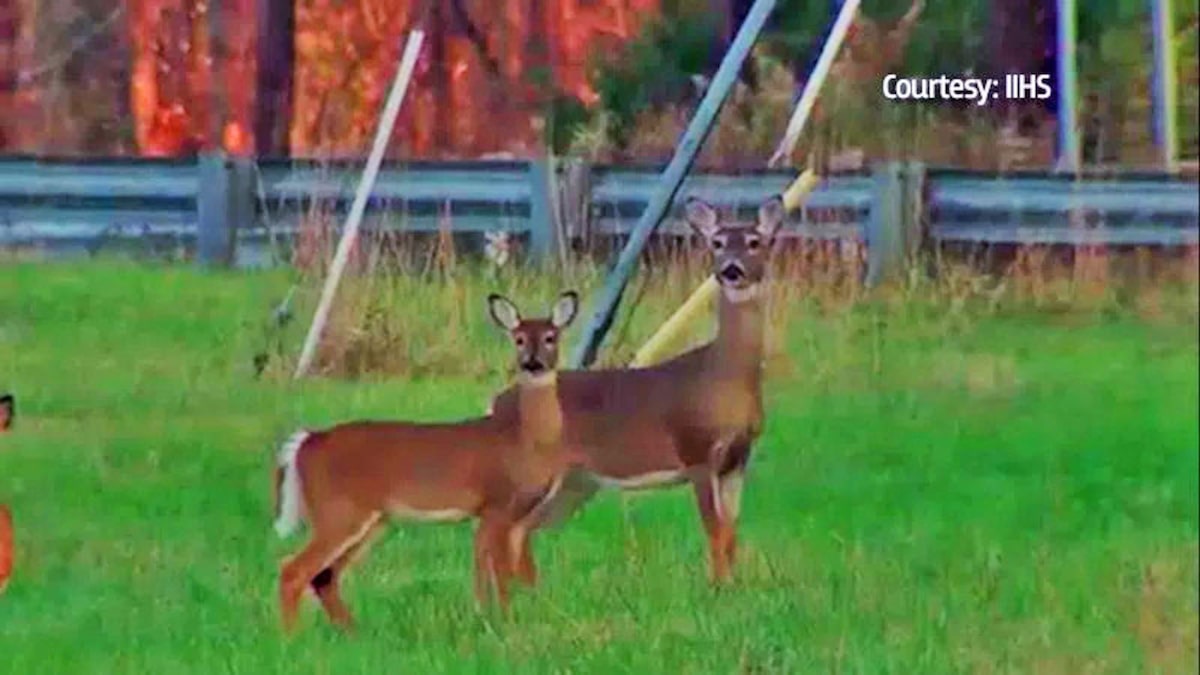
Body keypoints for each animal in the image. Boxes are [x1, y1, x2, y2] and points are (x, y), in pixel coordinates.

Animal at [272, 291, 580, 633]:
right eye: (519, 339)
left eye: (551, 337)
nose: (532, 363)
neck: (525, 441)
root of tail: (308, 441)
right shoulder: (497, 505)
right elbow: (499, 573)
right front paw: (502, 621)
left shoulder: (511, 516)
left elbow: (518, 573)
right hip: (338, 510)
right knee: (294, 570)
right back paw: (290, 638)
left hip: (370, 518)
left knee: (324, 576)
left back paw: (353, 633)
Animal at [487, 195, 785, 588]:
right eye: (717, 243)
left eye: (754, 241)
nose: (731, 270)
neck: (721, 378)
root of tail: (495, 403)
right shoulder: (696, 450)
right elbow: (714, 529)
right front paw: (718, 588)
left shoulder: (738, 458)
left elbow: (731, 531)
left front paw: (734, 587)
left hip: (573, 484)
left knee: (519, 531)